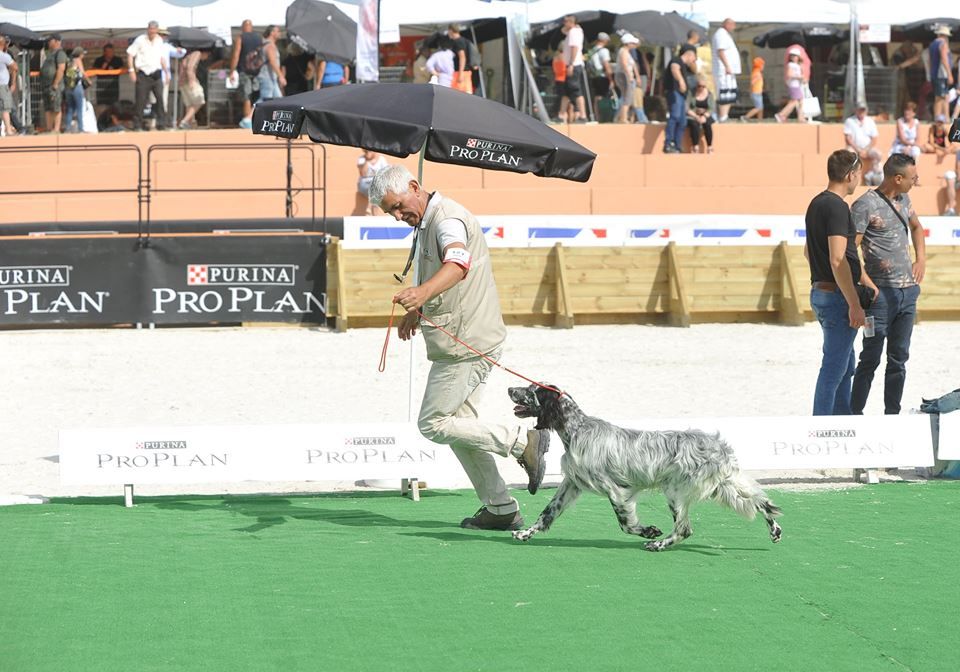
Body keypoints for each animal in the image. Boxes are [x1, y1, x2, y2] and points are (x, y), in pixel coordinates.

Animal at [506, 384, 784, 552]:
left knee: (684, 528)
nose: (510, 388)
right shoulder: (572, 484)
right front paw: (525, 533)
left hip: (676, 492)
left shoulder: (615, 490)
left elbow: (625, 524)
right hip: (722, 487)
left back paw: (658, 545)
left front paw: (649, 532)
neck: (577, 429)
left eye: (531, 390)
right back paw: (775, 531)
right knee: (762, 503)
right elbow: (547, 514)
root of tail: (718, 446)